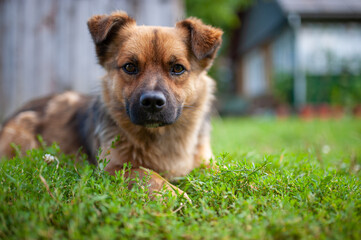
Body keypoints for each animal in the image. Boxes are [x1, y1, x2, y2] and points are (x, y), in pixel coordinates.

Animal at [0, 11, 222, 198]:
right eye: (130, 67)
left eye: (177, 68)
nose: (152, 102)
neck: (160, 137)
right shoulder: (112, 167)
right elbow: (147, 175)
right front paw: (174, 195)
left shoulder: (206, 162)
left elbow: (219, 170)